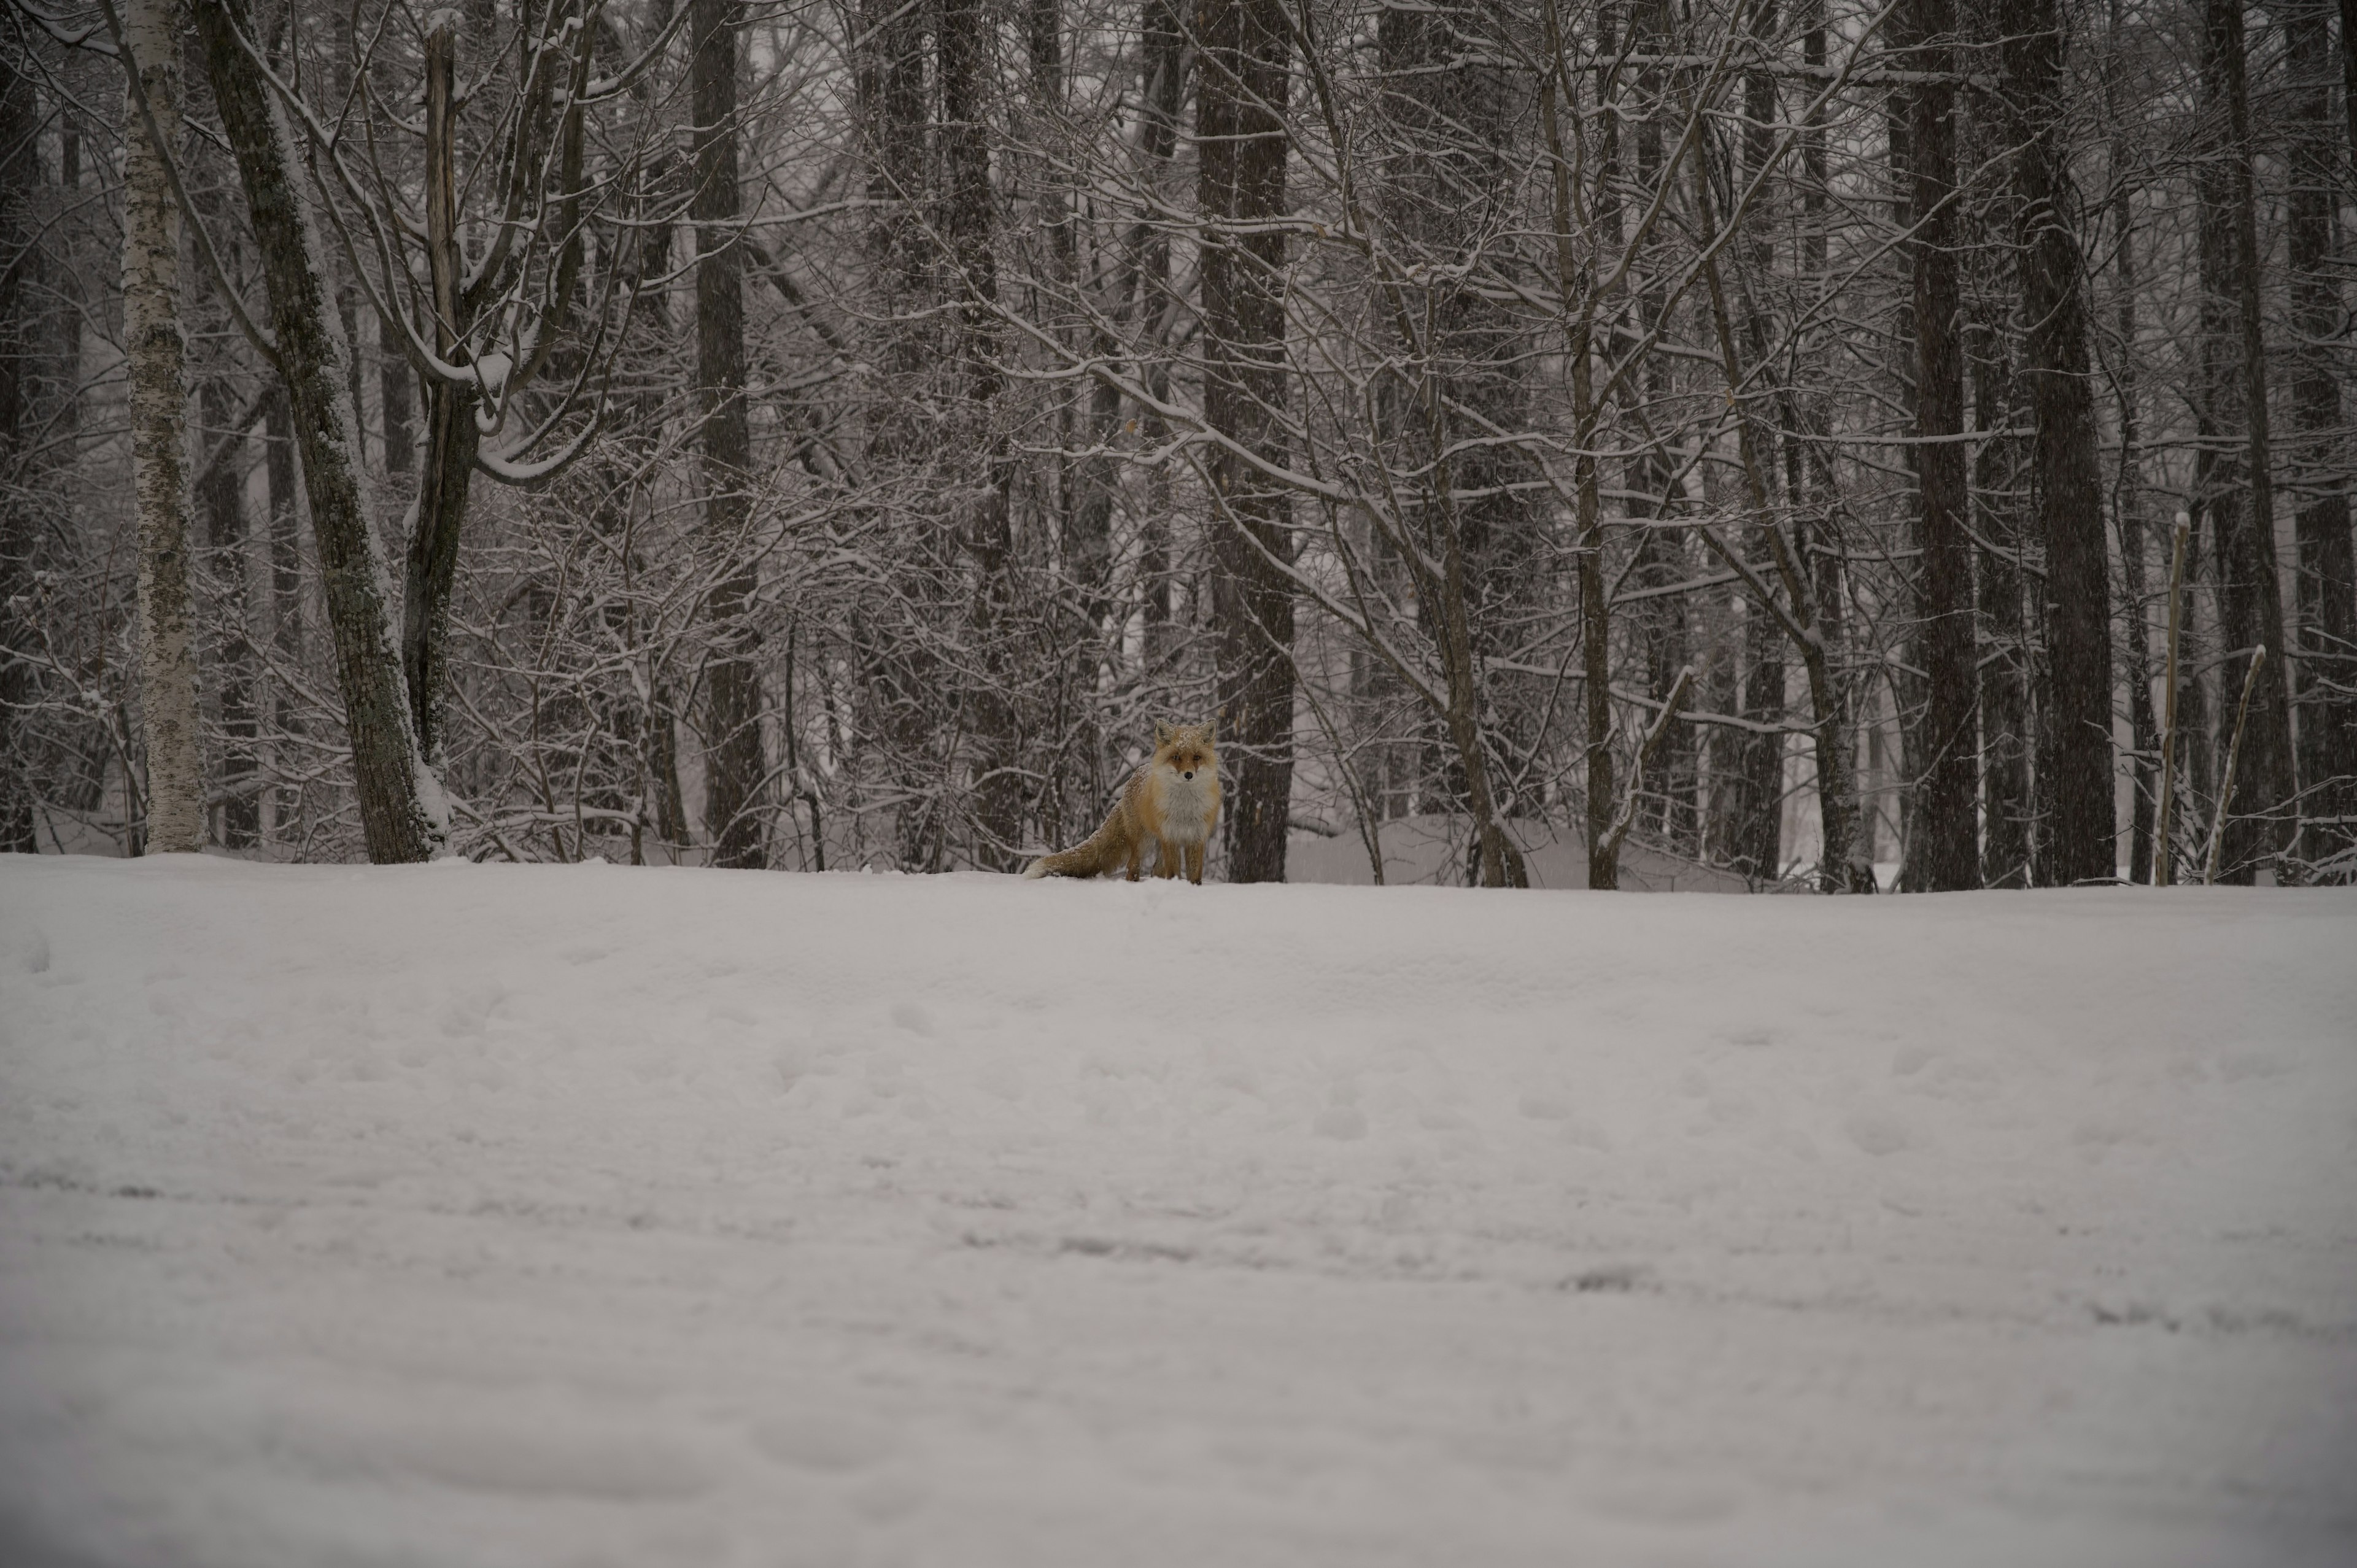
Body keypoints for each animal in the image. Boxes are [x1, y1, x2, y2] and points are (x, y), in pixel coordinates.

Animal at [1023, 721, 1225, 881]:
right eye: (1176, 757)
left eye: (1197, 757)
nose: (1188, 775)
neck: (1185, 809)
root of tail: (1133, 778)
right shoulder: (1171, 838)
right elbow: (1175, 872)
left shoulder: (1196, 838)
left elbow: (1195, 875)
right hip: (1143, 842)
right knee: (1132, 868)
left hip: (1158, 843)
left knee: (1155, 870)